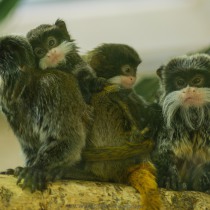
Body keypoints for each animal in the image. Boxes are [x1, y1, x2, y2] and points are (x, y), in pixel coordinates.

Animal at [0, 34, 92, 192]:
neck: (27, 91)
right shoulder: (8, 108)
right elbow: (31, 147)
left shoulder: (51, 86)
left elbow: (69, 138)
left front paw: (37, 168)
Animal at [152, 53, 210, 191]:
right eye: (180, 82)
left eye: (197, 80)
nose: (189, 90)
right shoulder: (167, 125)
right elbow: (162, 151)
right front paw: (169, 174)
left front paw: (204, 176)